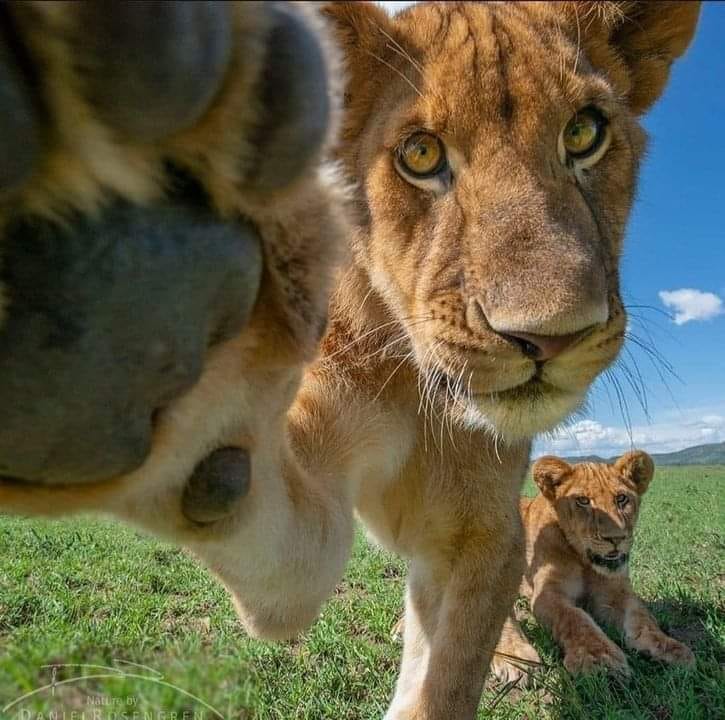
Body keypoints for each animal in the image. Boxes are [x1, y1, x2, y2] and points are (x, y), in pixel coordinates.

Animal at [493, 452, 695, 681]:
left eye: (621, 498)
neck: (584, 560)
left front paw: (670, 648)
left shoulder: (615, 592)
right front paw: (599, 659)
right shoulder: (548, 593)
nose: (616, 538)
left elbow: (643, 617)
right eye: (583, 501)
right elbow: (575, 618)